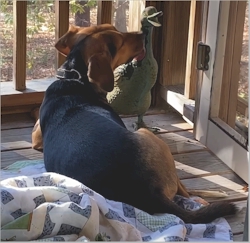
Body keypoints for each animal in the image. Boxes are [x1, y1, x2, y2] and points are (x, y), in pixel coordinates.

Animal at [31, 23, 236, 223]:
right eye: (120, 41)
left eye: (114, 27)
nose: (142, 34)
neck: (75, 78)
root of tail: (152, 192)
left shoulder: (37, 137)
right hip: (149, 136)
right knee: (185, 192)